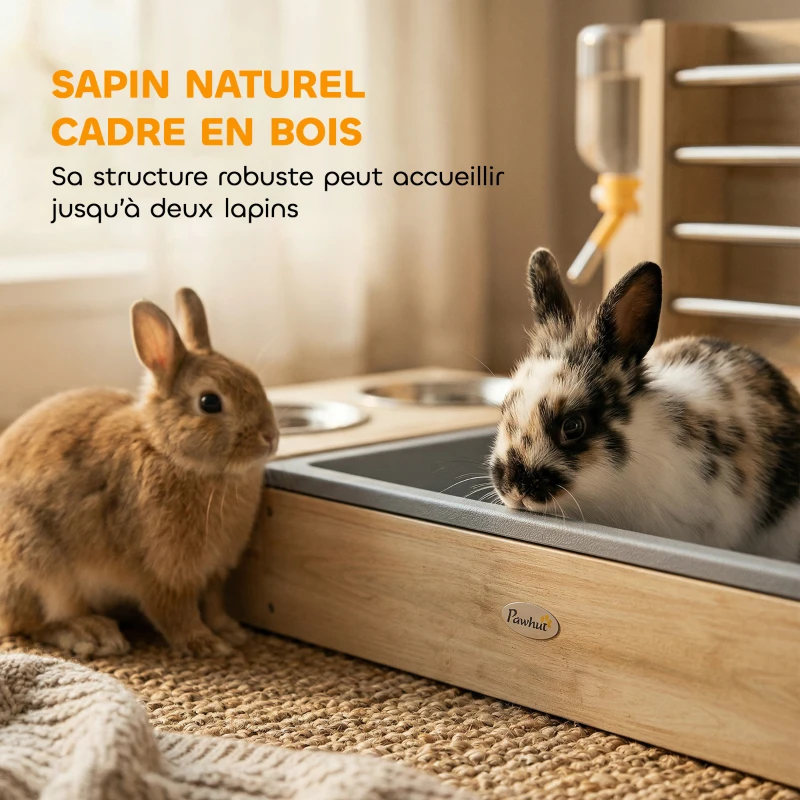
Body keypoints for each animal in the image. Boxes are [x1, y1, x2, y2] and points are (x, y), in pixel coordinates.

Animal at [0, 288, 279, 657]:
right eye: (210, 402)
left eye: (256, 382)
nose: (270, 437)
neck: (167, 452)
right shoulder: (162, 574)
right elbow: (176, 614)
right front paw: (206, 645)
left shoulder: (215, 572)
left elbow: (213, 604)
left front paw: (231, 632)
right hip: (40, 570)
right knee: (32, 622)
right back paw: (92, 633)